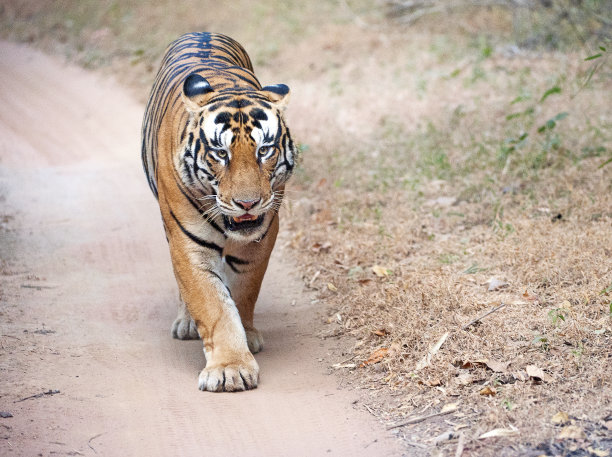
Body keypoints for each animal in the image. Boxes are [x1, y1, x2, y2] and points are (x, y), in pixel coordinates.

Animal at [142, 32, 298, 390]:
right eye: (220, 153)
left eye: (264, 150)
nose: (247, 203)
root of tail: (202, 32)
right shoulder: (188, 244)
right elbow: (212, 303)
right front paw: (230, 368)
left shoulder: (260, 239)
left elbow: (243, 292)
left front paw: (246, 339)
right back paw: (186, 323)